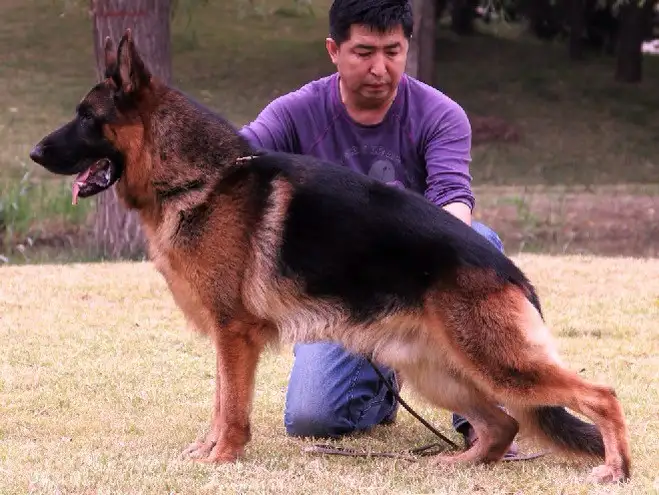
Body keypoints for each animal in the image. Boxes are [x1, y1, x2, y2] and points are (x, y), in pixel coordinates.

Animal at [31, 31, 636, 484]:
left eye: (86, 117)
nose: (34, 153)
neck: (199, 177)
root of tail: (514, 276)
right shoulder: (226, 336)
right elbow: (220, 399)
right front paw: (207, 451)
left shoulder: (234, 333)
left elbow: (231, 407)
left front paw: (223, 457)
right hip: (439, 372)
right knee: (503, 425)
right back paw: (457, 463)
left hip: (499, 365)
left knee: (600, 396)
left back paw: (614, 469)